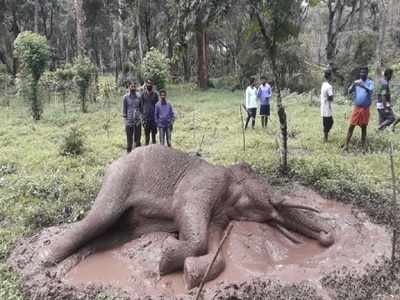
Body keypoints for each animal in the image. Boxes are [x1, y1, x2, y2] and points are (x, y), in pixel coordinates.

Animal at [40, 144, 334, 290]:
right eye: (269, 198)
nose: (326, 236)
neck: (228, 177)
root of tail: (115, 162)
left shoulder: (219, 212)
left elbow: (215, 244)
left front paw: (191, 274)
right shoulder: (202, 186)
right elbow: (193, 227)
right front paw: (166, 259)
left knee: (110, 235)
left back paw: (61, 268)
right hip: (120, 178)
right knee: (100, 217)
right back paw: (47, 260)